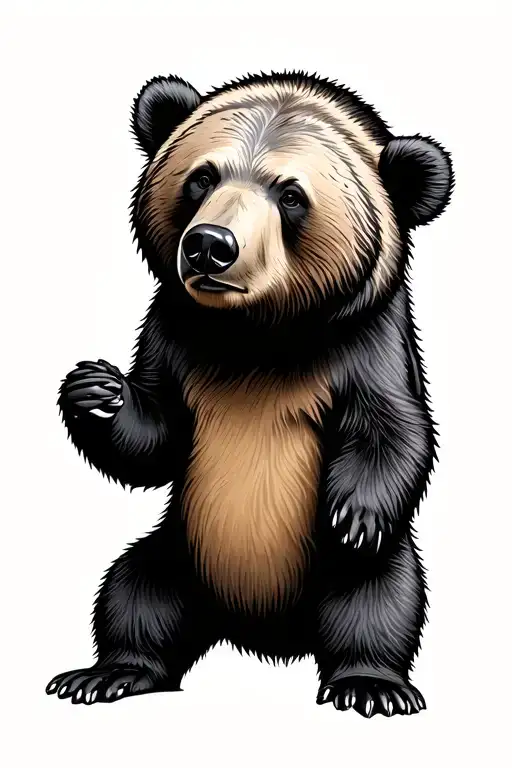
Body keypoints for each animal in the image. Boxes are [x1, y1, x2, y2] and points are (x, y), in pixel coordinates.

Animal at [46, 71, 453, 717]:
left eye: (291, 195)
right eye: (203, 177)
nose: (210, 245)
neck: (256, 334)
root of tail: (259, 631)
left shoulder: (364, 343)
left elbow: (395, 427)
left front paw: (357, 513)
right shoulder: (173, 333)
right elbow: (158, 435)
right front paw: (95, 390)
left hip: (339, 569)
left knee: (378, 601)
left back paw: (369, 683)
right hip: (180, 550)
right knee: (134, 593)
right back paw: (112, 671)